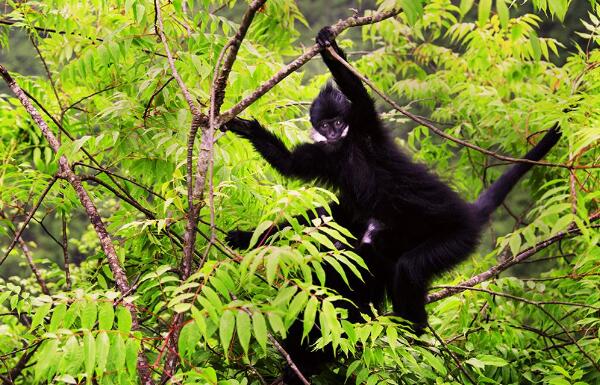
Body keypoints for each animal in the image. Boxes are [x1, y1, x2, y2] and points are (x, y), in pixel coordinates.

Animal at [223, 26, 560, 380]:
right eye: (325, 124)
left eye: (338, 121)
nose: (335, 131)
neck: (347, 149)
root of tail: (468, 213)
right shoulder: (325, 156)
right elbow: (290, 166)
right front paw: (248, 130)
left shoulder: (365, 127)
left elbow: (357, 94)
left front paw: (329, 45)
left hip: (457, 237)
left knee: (409, 267)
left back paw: (412, 329)